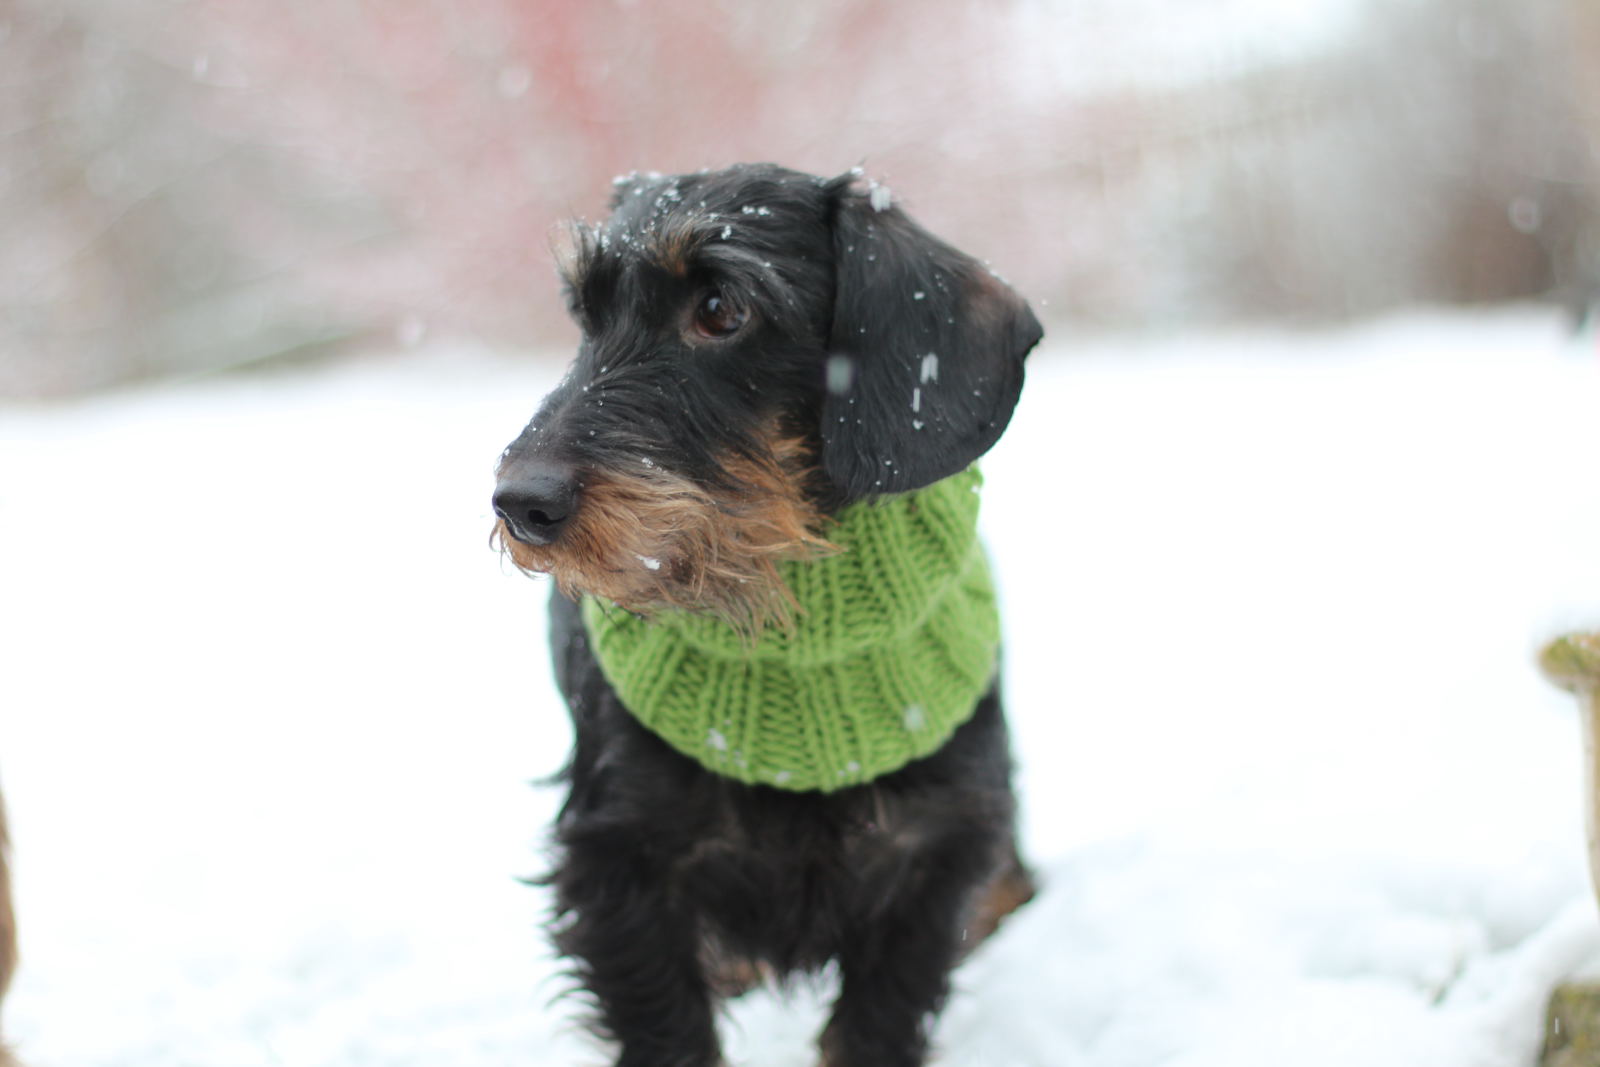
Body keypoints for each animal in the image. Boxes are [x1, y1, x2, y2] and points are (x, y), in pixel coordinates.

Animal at [493, 163, 1042, 1066]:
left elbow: (880, 1017)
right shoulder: (618, 865)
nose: (518, 502)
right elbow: (668, 1027)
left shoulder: (930, 860)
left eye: (721, 309)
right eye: (586, 314)